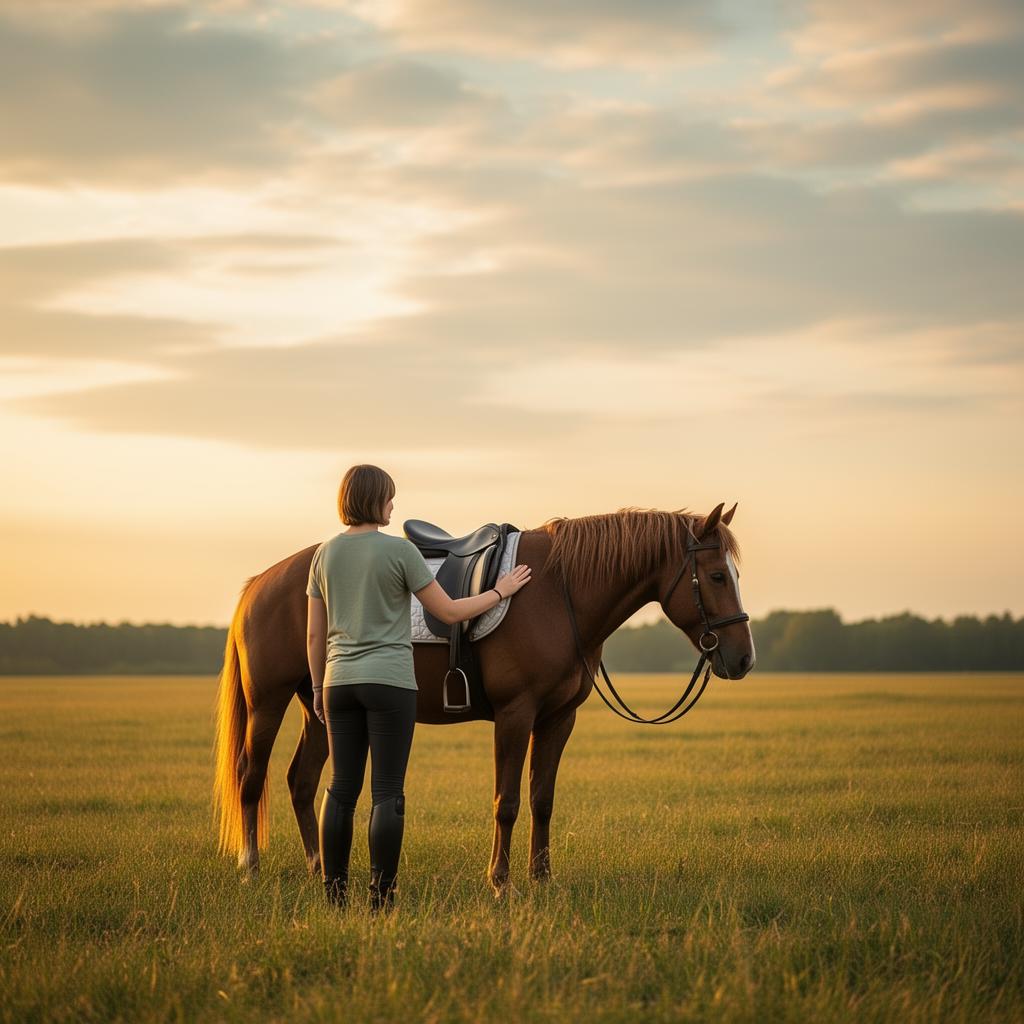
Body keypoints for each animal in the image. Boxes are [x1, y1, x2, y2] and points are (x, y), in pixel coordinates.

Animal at [213, 502, 755, 892]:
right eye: (716, 576)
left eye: (734, 575)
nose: (744, 659)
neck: (559, 591)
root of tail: (262, 582)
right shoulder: (516, 715)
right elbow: (507, 801)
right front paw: (500, 882)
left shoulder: (558, 719)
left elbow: (542, 798)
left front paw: (542, 878)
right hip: (268, 703)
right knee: (251, 776)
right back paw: (251, 867)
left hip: (322, 709)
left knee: (301, 782)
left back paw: (316, 866)